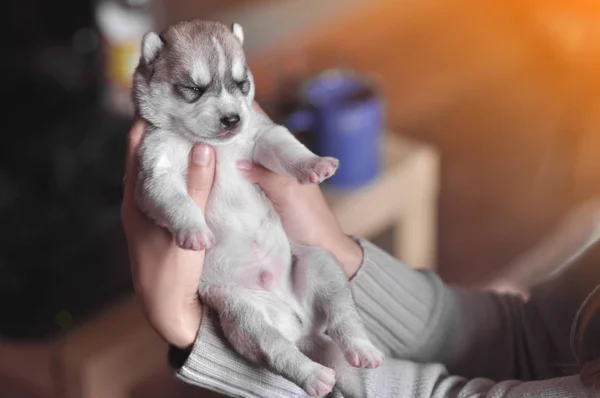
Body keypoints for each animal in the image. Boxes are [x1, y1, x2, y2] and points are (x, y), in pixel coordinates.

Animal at [132, 20, 384, 396]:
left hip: (321, 264)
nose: (232, 119)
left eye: (241, 83)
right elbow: (177, 201)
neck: (211, 145)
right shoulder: (156, 172)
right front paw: (194, 231)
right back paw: (315, 375)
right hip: (243, 315)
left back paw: (361, 350)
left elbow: (289, 149)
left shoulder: (263, 136)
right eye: (193, 88)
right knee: (277, 350)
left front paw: (315, 164)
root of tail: (300, 327)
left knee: (344, 317)